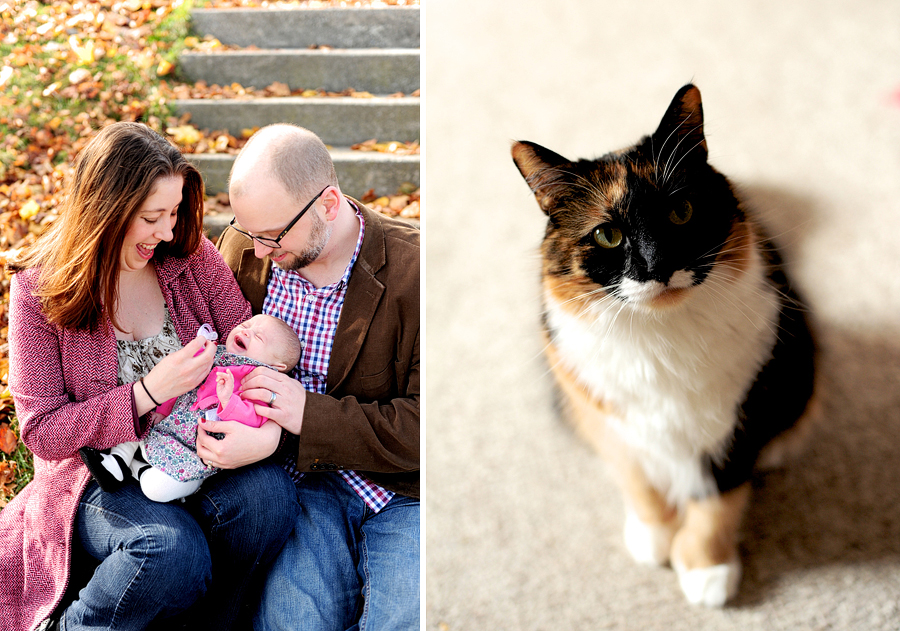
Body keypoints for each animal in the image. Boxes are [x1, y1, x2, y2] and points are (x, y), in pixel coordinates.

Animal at [512, 85, 816, 608]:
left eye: (681, 211)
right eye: (607, 234)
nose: (657, 266)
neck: (662, 338)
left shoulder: (741, 417)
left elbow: (717, 497)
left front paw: (706, 569)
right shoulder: (612, 422)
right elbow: (638, 481)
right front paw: (654, 538)